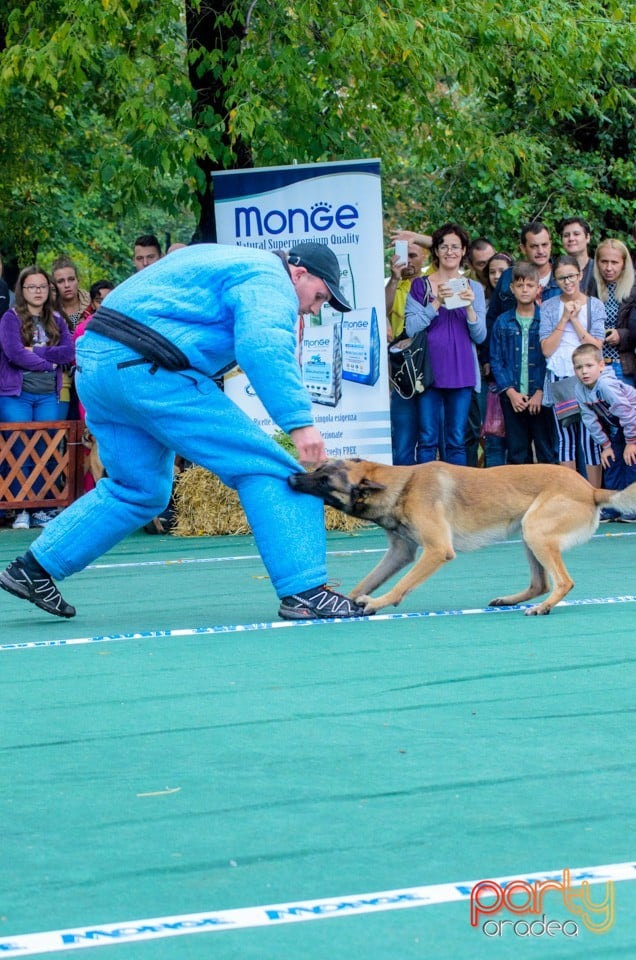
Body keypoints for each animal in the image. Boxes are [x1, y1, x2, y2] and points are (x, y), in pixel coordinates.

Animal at [290, 462, 636, 620]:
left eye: (324, 479)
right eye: (318, 468)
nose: (292, 477)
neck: (403, 485)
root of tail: (591, 489)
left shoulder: (436, 551)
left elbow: (400, 586)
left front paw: (376, 603)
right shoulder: (399, 553)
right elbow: (368, 581)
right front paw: (344, 602)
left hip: (536, 531)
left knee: (563, 582)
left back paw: (544, 608)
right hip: (529, 534)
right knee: (540, 584)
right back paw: (511, 600)